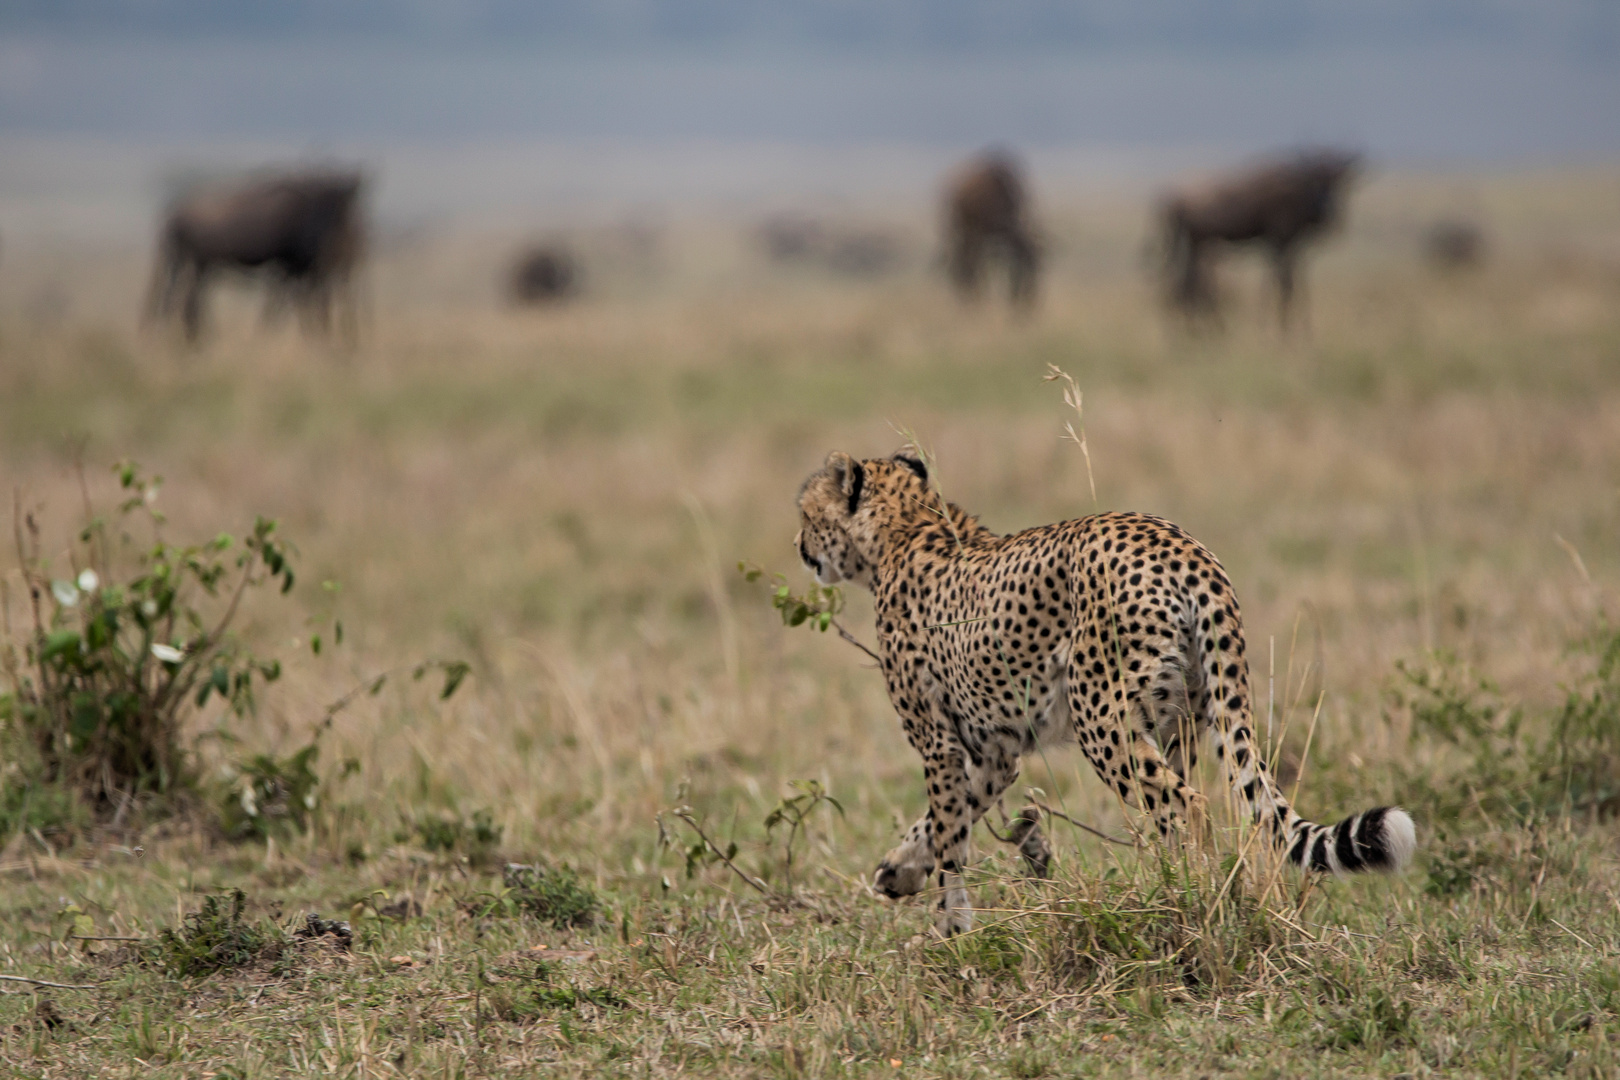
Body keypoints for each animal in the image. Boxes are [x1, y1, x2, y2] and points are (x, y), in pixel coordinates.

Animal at [790, 446, 1412, 939]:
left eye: (805, 513)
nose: (798, 545)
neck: (908, 525)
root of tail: (1182, 545)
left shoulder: (941, 742)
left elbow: (949, 834)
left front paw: (948, 931)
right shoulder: (996, 751)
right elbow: (947, 817)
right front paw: (899, 869)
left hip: (1103, 719)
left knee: (1190, 806)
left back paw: (1194, 905)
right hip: (1183, 716)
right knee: (1181, 806)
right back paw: (1182, 892)